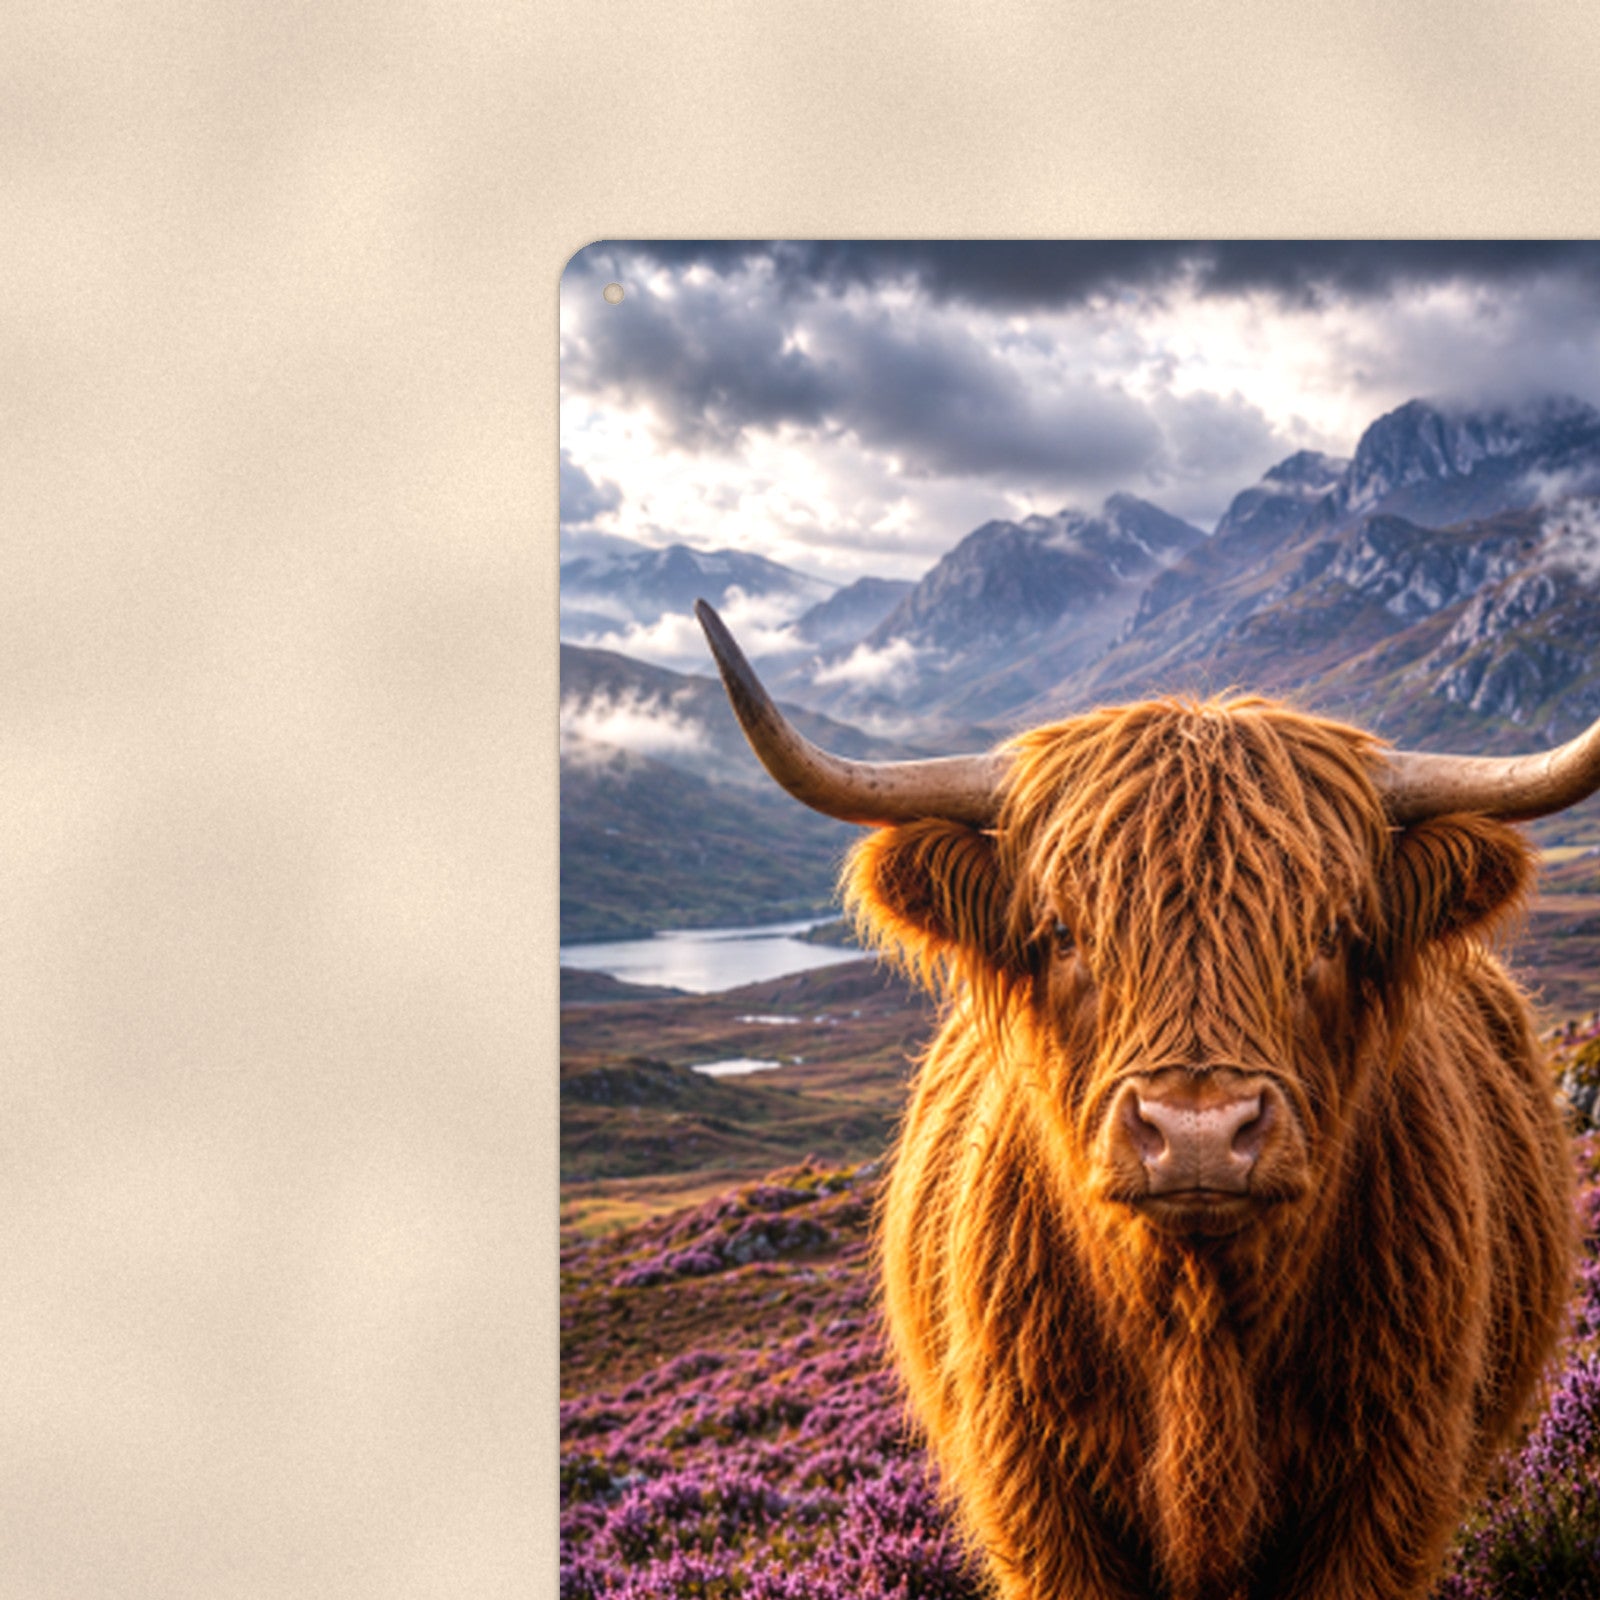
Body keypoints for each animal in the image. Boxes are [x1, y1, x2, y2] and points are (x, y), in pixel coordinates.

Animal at [694, 599, 1586, 1600]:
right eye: (1063, 933)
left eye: (1329, 934)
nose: (1198, 1132)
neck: (1199, 1330)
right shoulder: (1041, 1501)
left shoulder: (1387, 1490)